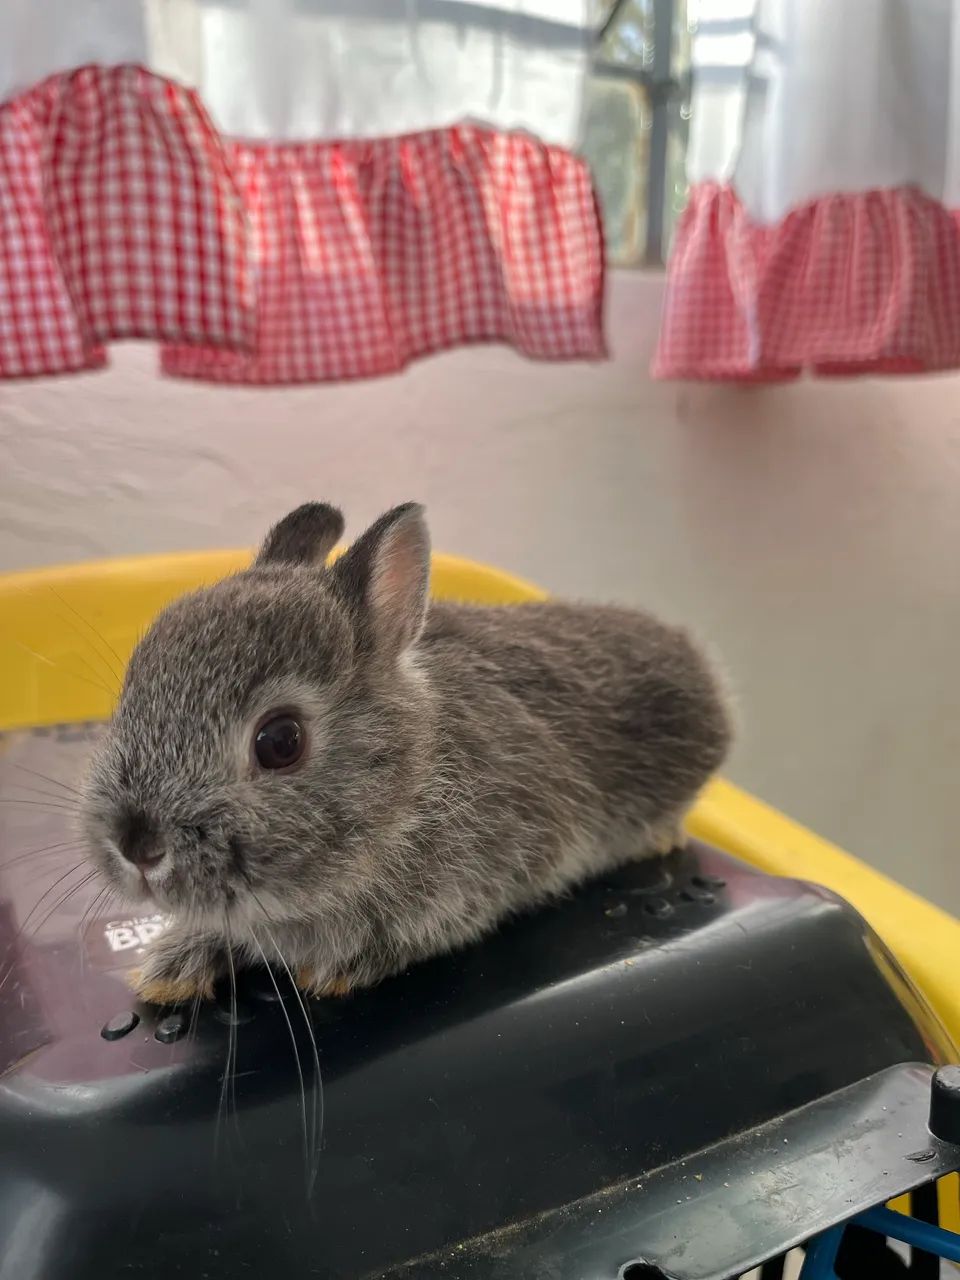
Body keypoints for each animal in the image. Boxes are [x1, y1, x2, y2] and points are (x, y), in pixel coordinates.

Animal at [80, 502, 733, 1005]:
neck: (410, 782)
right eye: (130, 693)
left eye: (280, 741)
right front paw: (170, 967)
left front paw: (335, 969)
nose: (137, 845)